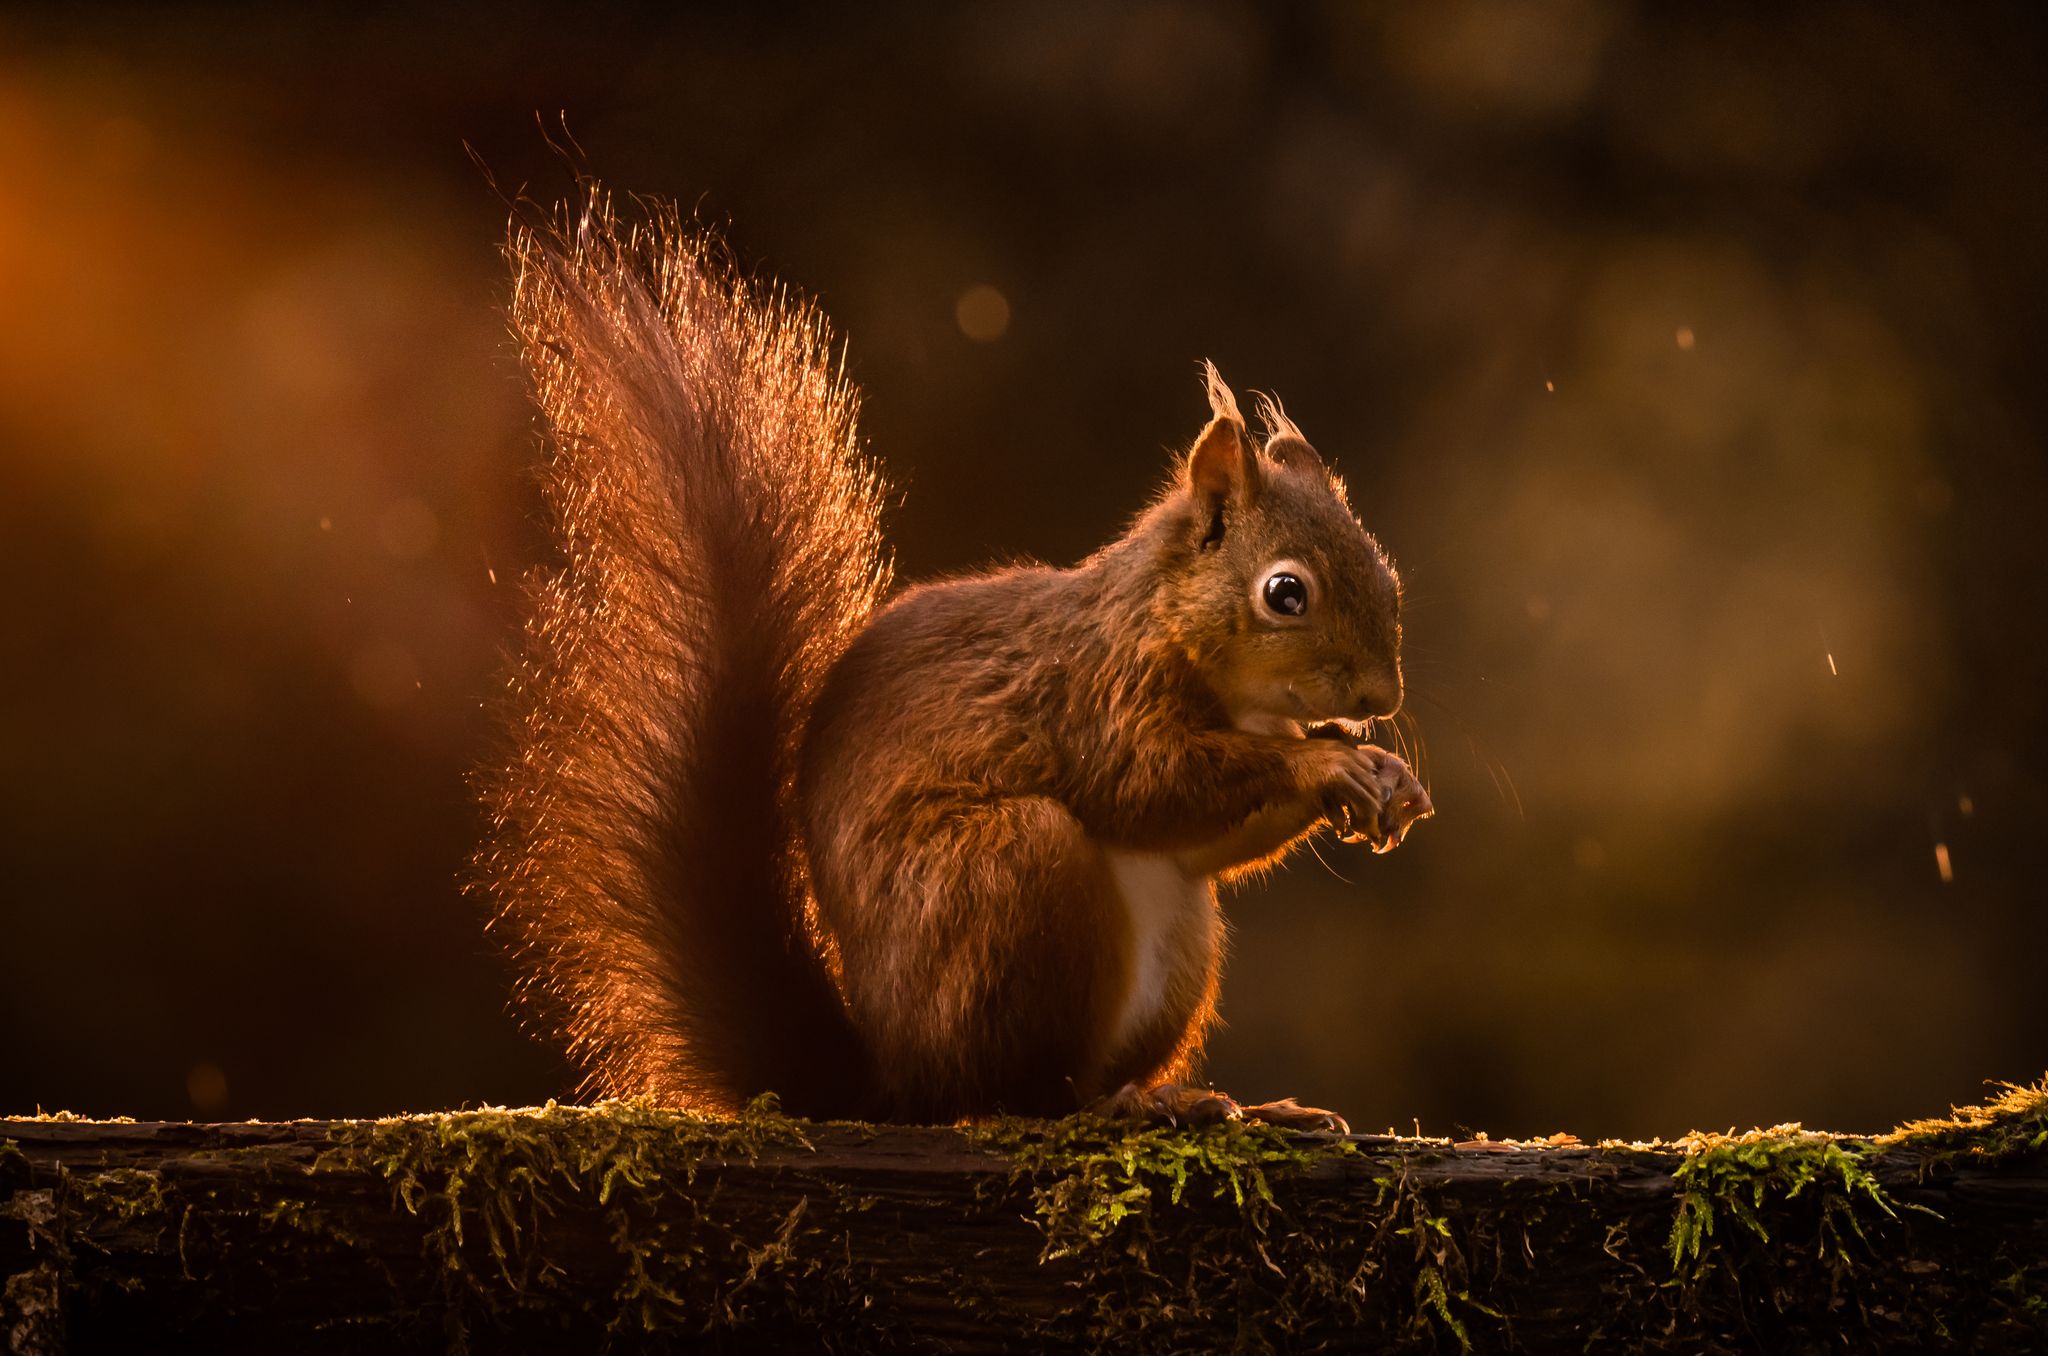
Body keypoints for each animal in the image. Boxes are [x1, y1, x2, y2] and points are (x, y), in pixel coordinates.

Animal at [479, 186, 1433, 1130]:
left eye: (1388, 573)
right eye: (1285, 594)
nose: (1381, 698)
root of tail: (894, 1079)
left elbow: (1207, 842)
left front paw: (1383, 774)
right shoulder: (1097, 691)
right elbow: (1145, 782)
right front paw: (1326, 765)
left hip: (1174, 940)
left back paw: (1219, 1102)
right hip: (1006, 876)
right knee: (1016, 1091)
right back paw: (1124, 1108)